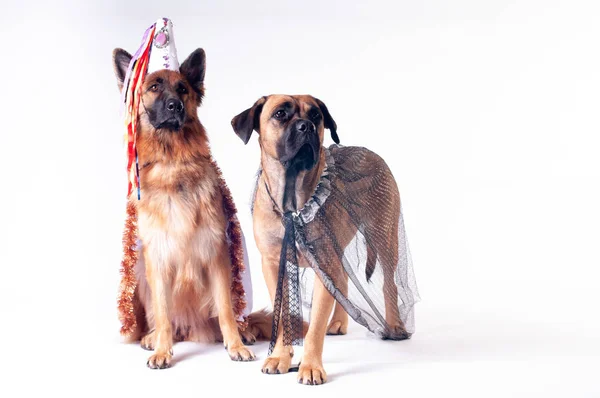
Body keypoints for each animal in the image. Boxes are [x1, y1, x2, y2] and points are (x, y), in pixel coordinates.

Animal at [112, 48, 258, 368]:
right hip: (140, 275)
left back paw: (246, 332)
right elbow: (164, 312)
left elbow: (226, 310)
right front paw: (162, 350)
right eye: (154, 87)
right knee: (165, 319)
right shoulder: (157, 258)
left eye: (182, 89)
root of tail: (193, 327)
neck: (173, 163)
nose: (175, 106)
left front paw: (235, 346)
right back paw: (153, 337)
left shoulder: (217, 255)